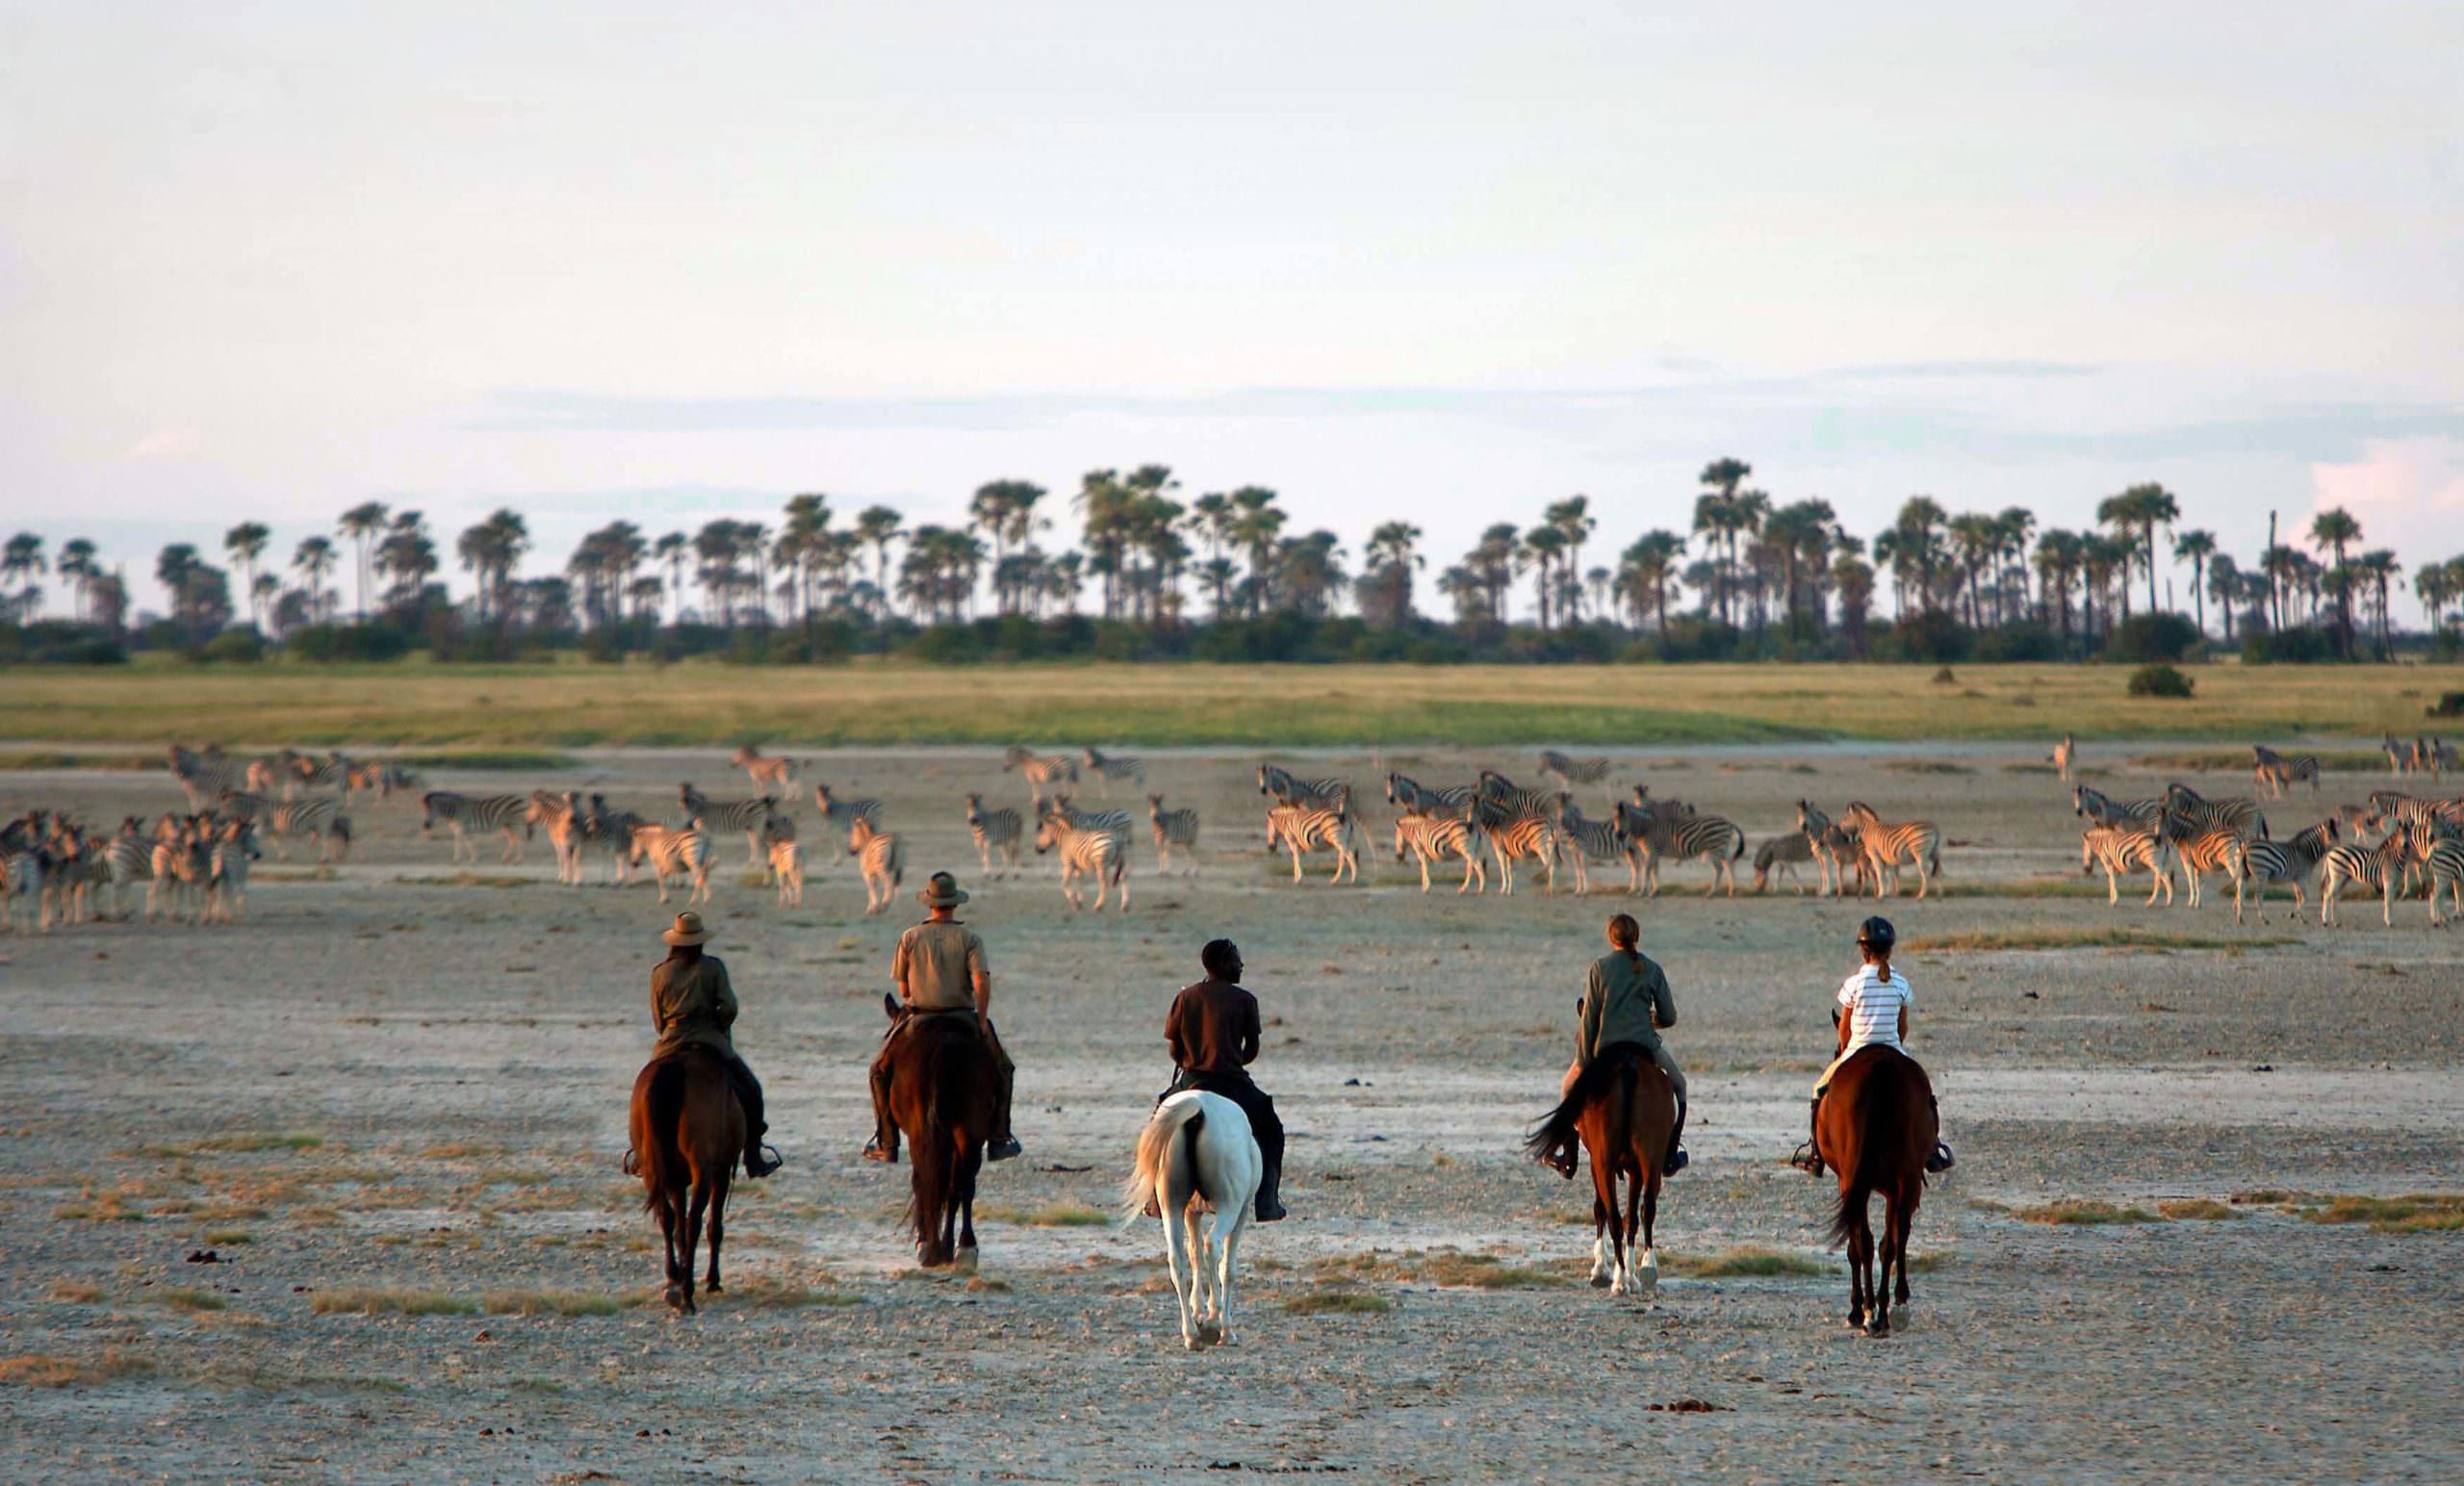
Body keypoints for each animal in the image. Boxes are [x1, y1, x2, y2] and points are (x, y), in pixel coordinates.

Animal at [626, 1044, 739, 1311]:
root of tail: (675, 1067)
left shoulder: (676, 1180)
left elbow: (676, 1222)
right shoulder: (721, 1170)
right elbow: (713, 1225)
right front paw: (712, 1280)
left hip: (652, 1168)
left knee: (666, 1217)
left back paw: (673, 1281)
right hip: (703, 1169)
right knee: (694, 1221)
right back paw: (687, 1292)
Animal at [886, 1005, 1000, 1271]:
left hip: (926, 1131)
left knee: (927, 1180)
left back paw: (934, 1247)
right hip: (969, 1131)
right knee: (961, 1183)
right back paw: (960, 1247)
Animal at [1123, 1093, 1261, 1350]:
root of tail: (1199, 1107)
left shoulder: (1190, 1213)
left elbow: (1193, 1253)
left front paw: (1198, 1309)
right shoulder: (1242, 1211)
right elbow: (1227, 1267)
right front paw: (1221, 1323)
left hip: (1172, 1205)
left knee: (1176, 1258)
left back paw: (1191, 1334)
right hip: (1230, 1206)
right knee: (1213, 1246)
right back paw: (1217, 1323)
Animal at [1517, 1044, 1675, 1300]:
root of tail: (1629, 1064)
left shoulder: (1595, 1163)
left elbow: (1600, 1209)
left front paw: (1600, 1269)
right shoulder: (1634, 1169)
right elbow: (1631, 1216)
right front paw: (1629, 1272)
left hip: (1604, 1163)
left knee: (1614, 1217)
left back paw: (1620, 1281)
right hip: (1651, 1158)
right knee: (1645, 1210)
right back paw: (1645, 1269)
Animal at [1813, 1044, 1941, 1340]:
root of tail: (1881, 1066)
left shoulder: (1848, 1183)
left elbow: (1857, 1246)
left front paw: (1856, 1310)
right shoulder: (1892, 1189)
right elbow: (1890, 1241)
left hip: (1863, 1181)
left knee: (1867, 1241)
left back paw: (1870, 1312)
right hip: (1906, 1180)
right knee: (1891, 1239)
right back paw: (1888, 1311)